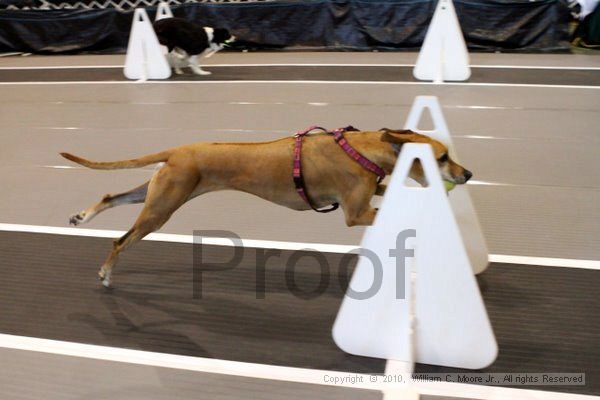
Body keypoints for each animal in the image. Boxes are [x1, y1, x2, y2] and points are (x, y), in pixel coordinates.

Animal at [62, 128, 474, 288]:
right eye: (442, 157)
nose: (467, 173)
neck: (363, 149)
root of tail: (178, 150)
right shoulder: (355, 213)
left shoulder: (371, 192)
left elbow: (389, 189)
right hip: (161, 208)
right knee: (120, 240)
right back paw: (106, 272)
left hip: (157, 193)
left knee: (111, 197)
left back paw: (82, 215)